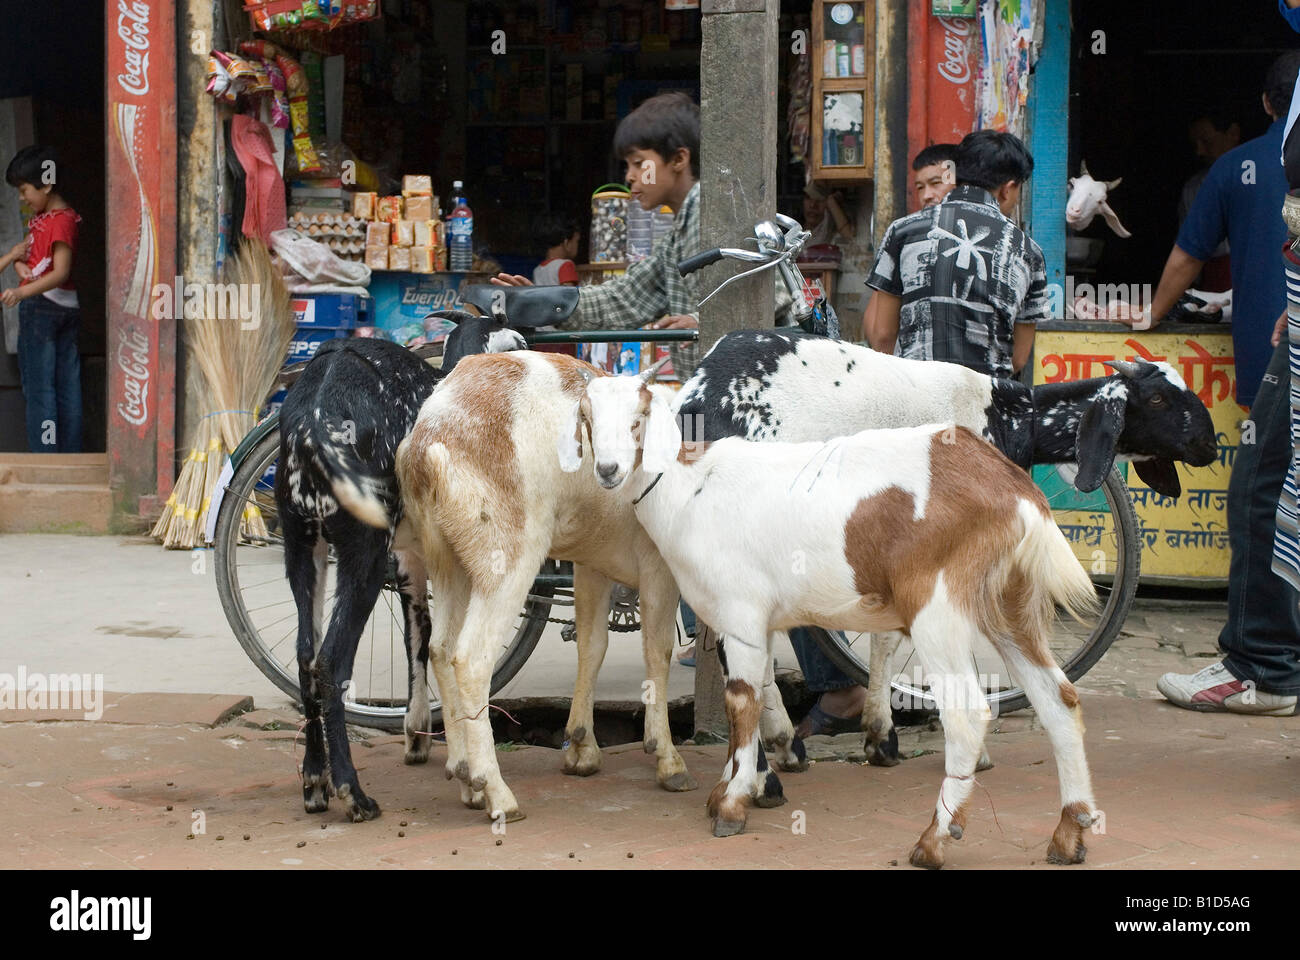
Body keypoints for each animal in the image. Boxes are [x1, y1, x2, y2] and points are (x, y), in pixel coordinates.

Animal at [276, 310, 525, 816]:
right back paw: (353, 792)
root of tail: (311, 425)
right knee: (331, 662)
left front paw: (417, 733)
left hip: (303, 547)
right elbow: (439, 642)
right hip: (363, 553)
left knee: (306, 656)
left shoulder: (411, 557)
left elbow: (420, 636)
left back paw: (314, 782)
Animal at [387, 351, 702, 822]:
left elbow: (592, 644)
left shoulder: (592, 563)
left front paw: (582, 749)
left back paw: (465, 777)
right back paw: (495, 791)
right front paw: (668, 759)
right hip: (507, 559)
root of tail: (428, 441)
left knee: (441, 649)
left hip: (448, 561)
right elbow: (658, 650)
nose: (607, 469)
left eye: (635, 420)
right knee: (471, 659)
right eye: (588, 419)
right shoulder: (659, 566)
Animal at [569, 361, 1097, 868]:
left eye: (637, 420)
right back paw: (1070, 833)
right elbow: (759, 693)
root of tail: (1016, 490)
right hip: (1010, 604)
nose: (609, 470)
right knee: (1060, 701)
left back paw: (933, 841)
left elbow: (742, 702)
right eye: (589, 419)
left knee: (967, 715)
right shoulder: (752, 621)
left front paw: (733, 805)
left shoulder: (740, 614)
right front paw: (740, 784)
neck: (692, 488)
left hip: (939, 608)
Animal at [670, 325, 1216, 764]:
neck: (1009, 417)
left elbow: (887, 635)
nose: (1211, 446)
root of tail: (698, 398)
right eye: (1159, 400)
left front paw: (882, 735)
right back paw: (774, 757)